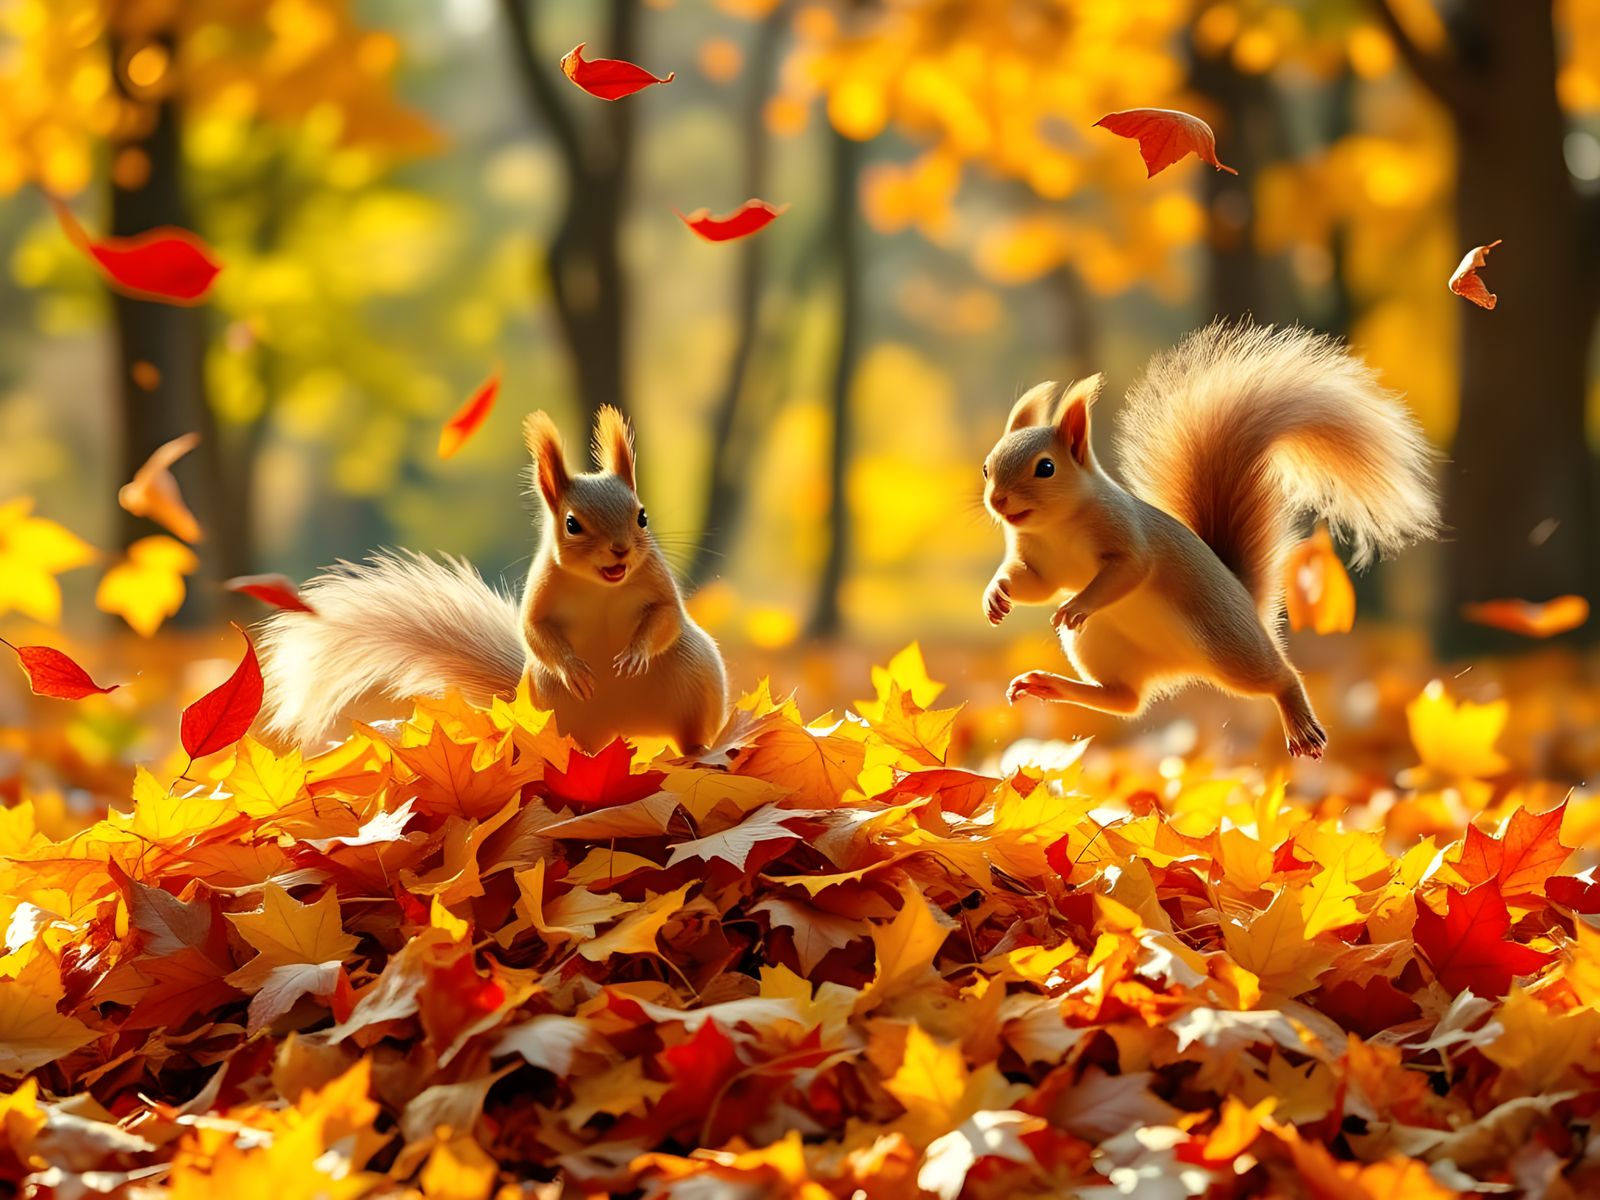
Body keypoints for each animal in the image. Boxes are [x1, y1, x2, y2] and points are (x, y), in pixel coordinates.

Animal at [258, 405, 728, 753]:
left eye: (642, 516)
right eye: (572, 524)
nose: (621, 550)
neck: (602, 587)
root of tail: (629, 732)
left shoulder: (656, 581)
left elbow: (666, 617)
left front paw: (633, 655)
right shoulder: (542, 591)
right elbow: (536, 631)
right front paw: (574, 669)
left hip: (697, 684)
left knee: (690, 736)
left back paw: (698, 754)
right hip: (557, 712)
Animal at [982, 321, 1439, 758]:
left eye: (1045, 468)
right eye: (988, 466)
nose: (997, 500)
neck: (1056, 526)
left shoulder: (1126, 532)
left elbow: (1128, 570)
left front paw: (1077, 604)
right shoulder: (1039, 561)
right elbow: (1036, 585)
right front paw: (996, 594)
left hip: (1227, 643)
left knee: (1277, 676)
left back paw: (1300, 726)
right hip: (1101, 646)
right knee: (1124, 700)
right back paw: (1048, 684)